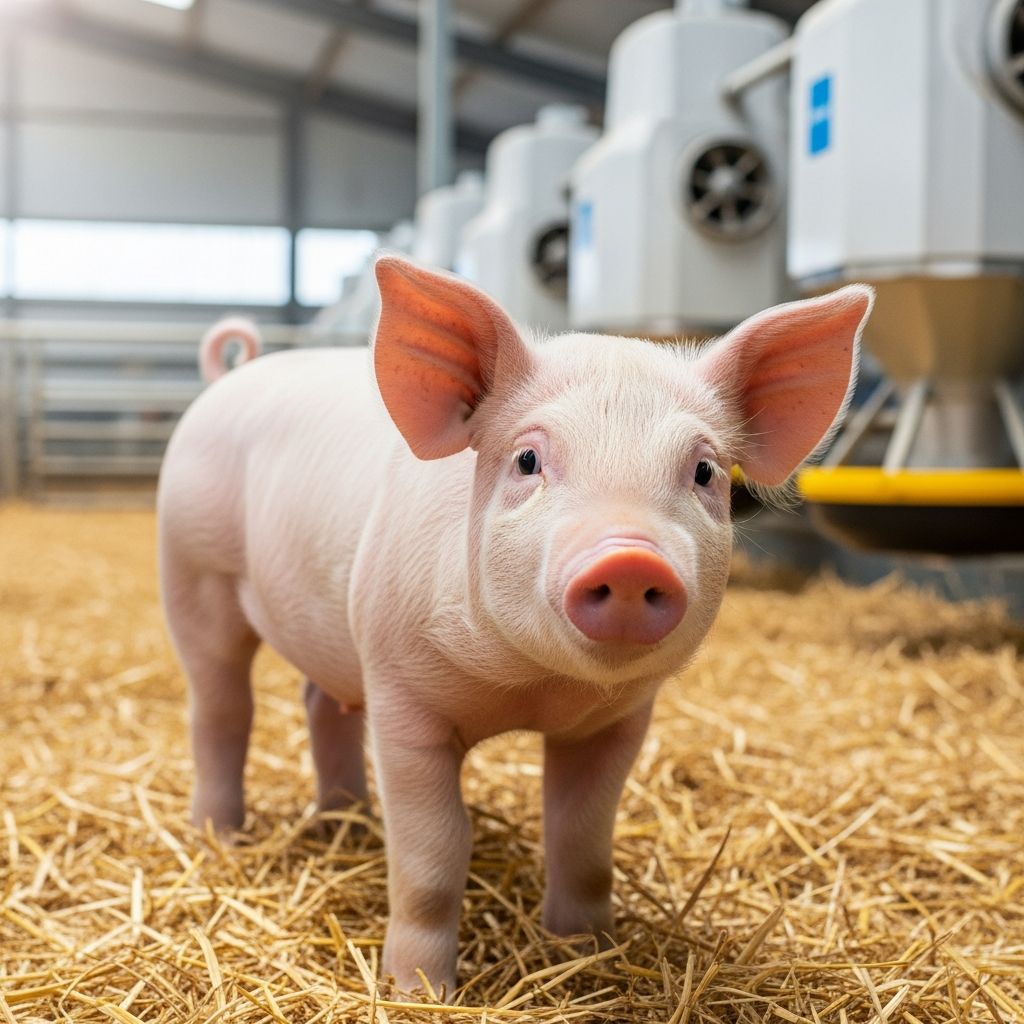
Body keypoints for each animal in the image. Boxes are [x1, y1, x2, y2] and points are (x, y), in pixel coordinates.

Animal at [157, 255, 872, 995]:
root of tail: (232, 376)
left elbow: (583, 839)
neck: (533, 688)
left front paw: (587, 954)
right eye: (528, 460)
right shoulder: (401, 692)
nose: (630, 556)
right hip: (191, 568)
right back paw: (220, 834)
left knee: (319, 700)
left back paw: (345, 825)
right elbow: (435, 851)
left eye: (704, 471)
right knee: (220, 707)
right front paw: (422, 991)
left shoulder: (619, 721)